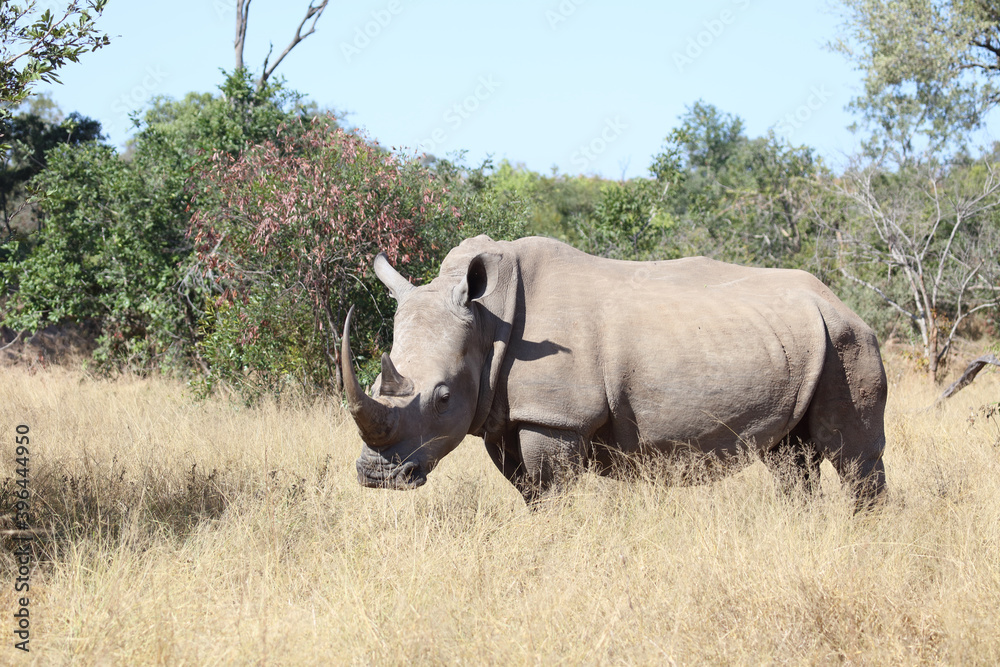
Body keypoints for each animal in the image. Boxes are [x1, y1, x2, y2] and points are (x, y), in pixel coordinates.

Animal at [342, 235, 887, 504]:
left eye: (442, 398)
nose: (376, 477)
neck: (486, 320)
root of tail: (838, 301)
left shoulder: (556, 417)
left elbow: (551, 489)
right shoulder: (506, 413)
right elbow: (528, 490)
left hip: (847, 340)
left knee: (852, 453)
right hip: (801, 342)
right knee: (789, 458)